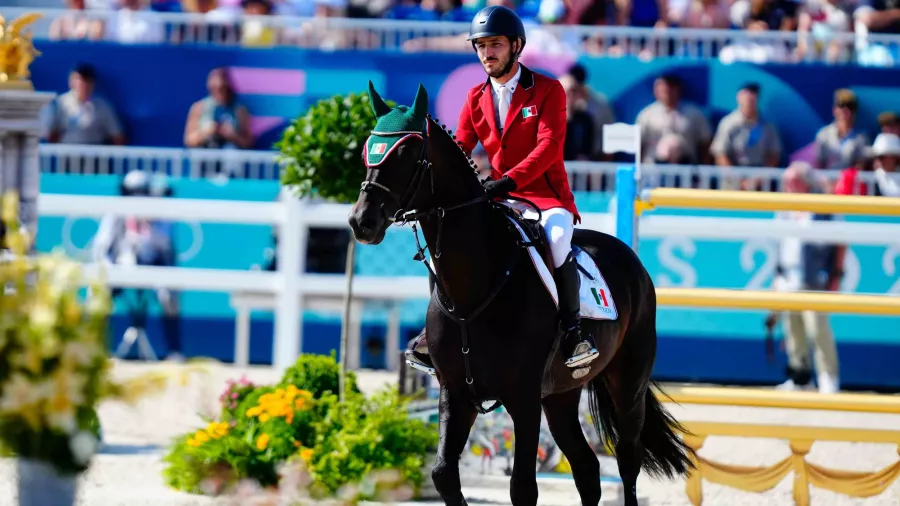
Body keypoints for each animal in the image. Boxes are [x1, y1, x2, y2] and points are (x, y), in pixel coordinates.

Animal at [348, 82, 692, 506]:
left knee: (628, 463)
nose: (362, 222)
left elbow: (523, 487)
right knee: (587, 468)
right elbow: (443, 474)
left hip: (627, 386)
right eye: (368, 149)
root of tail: (630, 259)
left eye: (409, 151)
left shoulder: (523, 397)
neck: (474, 291)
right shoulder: (456, 394)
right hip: (561, 395)